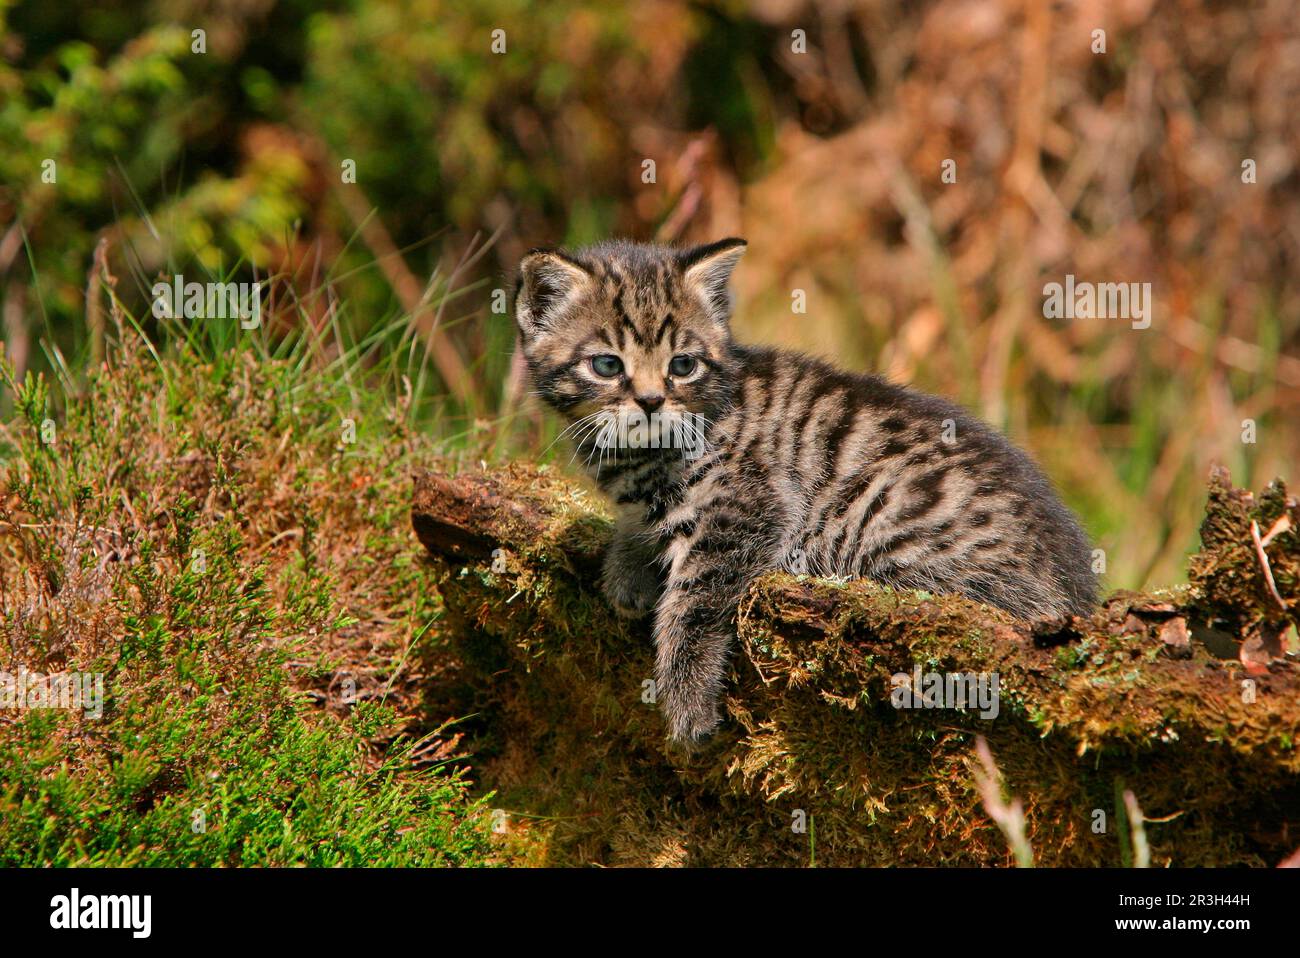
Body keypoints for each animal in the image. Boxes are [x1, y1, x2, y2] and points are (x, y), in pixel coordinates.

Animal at [512, 237, 1092, 738]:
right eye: (607, 364)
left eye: (683, 364)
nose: (652, 401)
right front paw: (626, 569)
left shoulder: (753, 503)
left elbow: (696, 598)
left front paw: (687, 696)